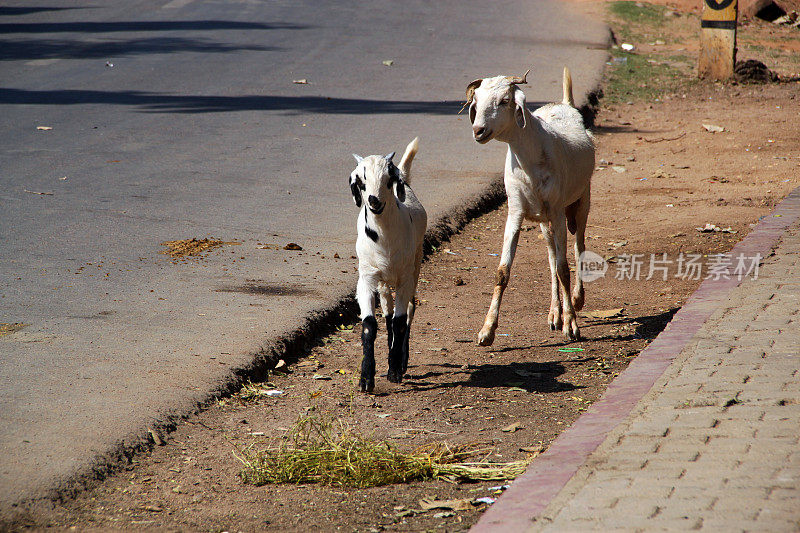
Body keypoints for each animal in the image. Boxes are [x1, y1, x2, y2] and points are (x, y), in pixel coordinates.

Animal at [348, 137, 424, 390]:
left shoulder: (405, 279)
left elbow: (401, 322)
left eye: (388, 179)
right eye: (361, 181)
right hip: (382, 281)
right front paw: (366, 378)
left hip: (415, 264)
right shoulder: (366, 278)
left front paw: (395, 370)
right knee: (388, 313)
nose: (374, 201)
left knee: (409, 309)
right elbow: (370, 325)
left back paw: (401, 358)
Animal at [462, 67, 592, 344]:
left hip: (581, 200)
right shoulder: (515, 210)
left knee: (579, 245)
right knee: (552, 257)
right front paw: (487, 330)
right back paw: (555, 313)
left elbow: (565, 269)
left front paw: (572, 325)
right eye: (476, 101)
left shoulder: (557, 209)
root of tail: (564, 104)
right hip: (545, 220)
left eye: (504, 101)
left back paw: (577, 299)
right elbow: (503, 271)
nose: (478, 130)